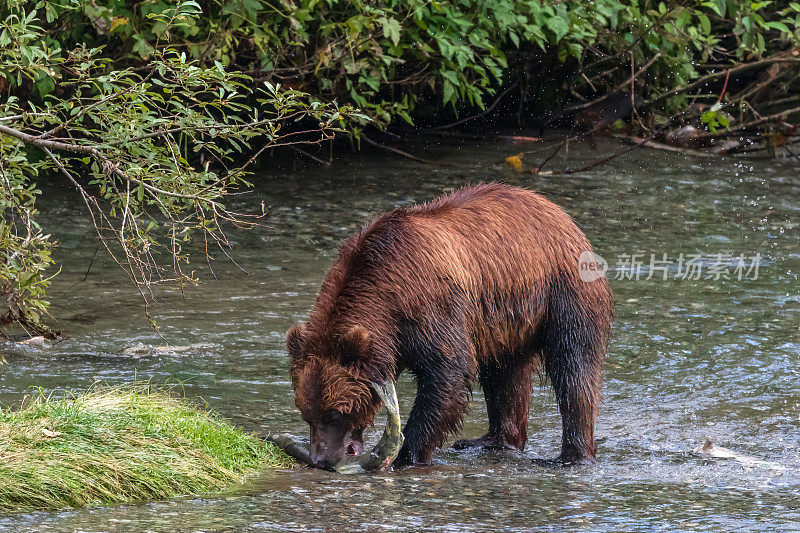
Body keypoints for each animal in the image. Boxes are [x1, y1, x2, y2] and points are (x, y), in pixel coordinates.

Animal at [286, 182, 612, 466]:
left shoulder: (431, 307)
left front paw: (406, 454)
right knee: (505, 375)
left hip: (561, 293)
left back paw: (570, 457)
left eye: (335, 413)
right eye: (306, 413)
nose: (320, 460)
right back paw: (492, 441)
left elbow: (448, 371)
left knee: (573, 366)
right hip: (505, 322)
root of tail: (558, 211)